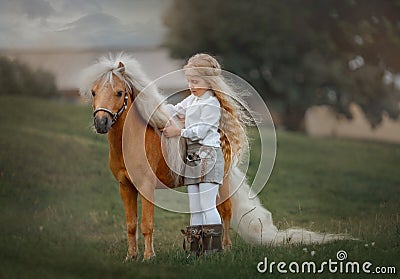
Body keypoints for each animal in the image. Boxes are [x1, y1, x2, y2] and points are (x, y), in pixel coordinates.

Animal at [79, 53, 346, 262]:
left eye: (119, 92)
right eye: (93, 92)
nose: (101, 123)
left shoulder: (145, 187)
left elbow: (146, 225)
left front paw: (148, 257)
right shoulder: (125, 186)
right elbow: (131, 224)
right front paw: (131, 257)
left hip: (222, 184)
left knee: (225, 213)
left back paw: (225, 250)